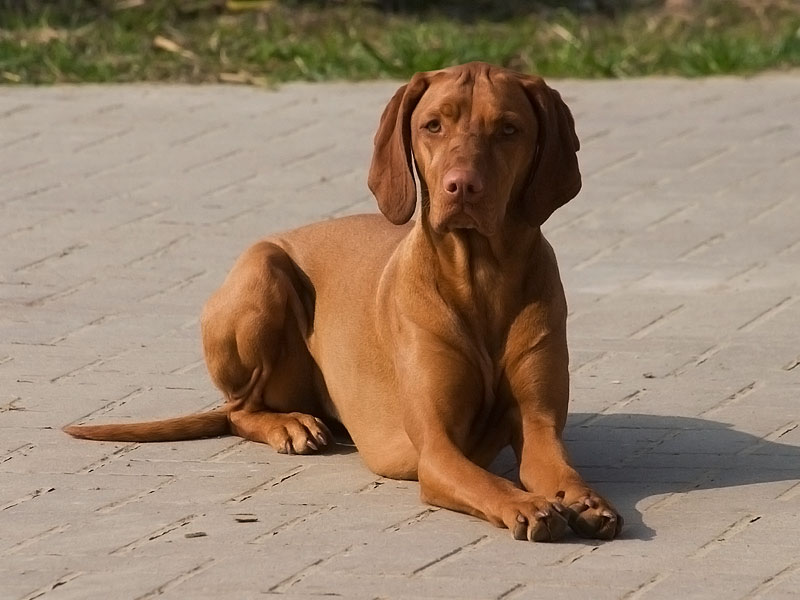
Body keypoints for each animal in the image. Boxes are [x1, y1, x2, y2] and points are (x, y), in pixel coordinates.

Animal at [65, 62, 622, 542]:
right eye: (433, 126)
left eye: (508, 129)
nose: (461, 187)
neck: (481, 276)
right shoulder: (437, 449)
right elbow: (488, 482)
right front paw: (526, 504)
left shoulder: (538, 425)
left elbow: (559, 468)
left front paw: (583, 499)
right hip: (264, 271)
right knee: (241, 409)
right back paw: (289, 423)